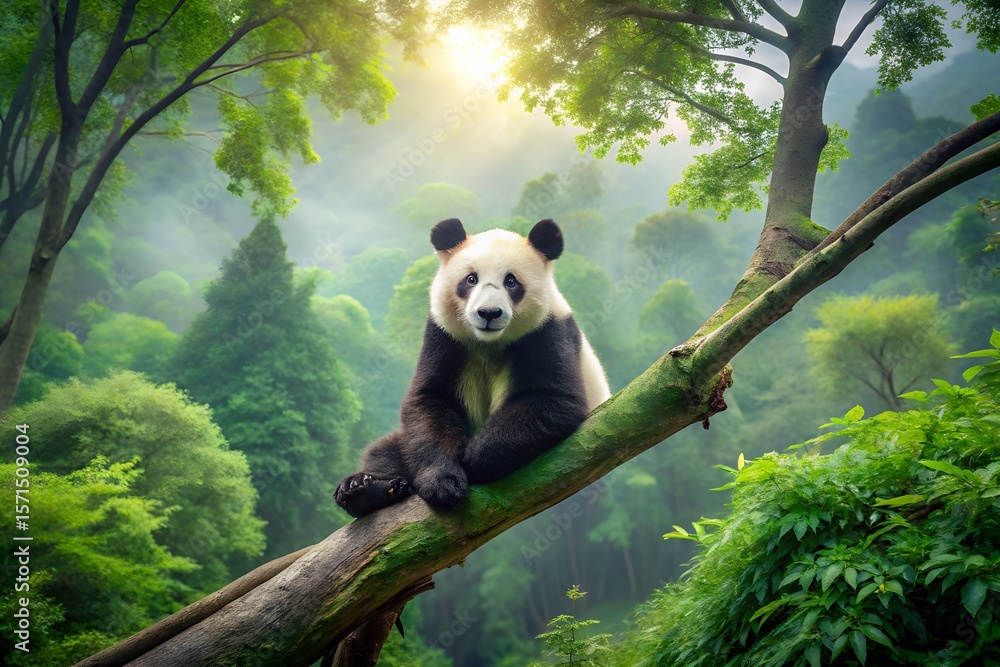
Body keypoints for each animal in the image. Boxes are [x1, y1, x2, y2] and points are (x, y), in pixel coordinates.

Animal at [334, 218, 611, 518]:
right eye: (471, 279)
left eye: (511, 281)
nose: (489, 313)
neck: (489, 342)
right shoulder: (444, 337)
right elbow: (430, 399)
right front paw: (442, 481)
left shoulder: (548, 332)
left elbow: (555, 400)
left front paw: (472, 459)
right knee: (387, 451)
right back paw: (364, 489)